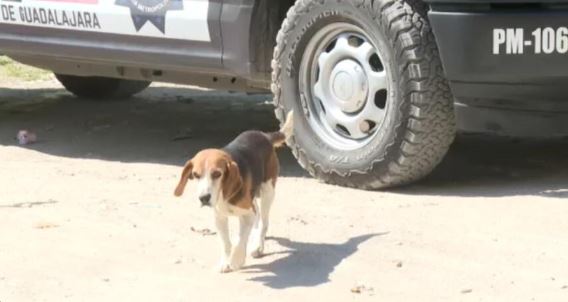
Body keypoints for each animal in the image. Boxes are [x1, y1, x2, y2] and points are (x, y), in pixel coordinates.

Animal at [173, 112, 292, 272]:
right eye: (196, 175)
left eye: (217, 174)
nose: (204, 198)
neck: (223, 194)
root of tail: (264, 135)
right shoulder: (219, 218)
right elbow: (226, 243)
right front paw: (225, 261)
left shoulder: (247, 214)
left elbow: (240, 241)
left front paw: (236, 260)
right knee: (257, 217)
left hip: (267, 191)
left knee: (263, 222)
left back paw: (257, 246)